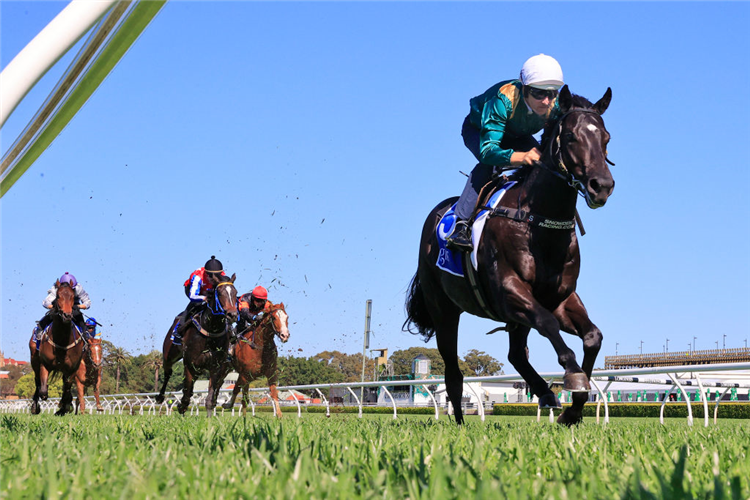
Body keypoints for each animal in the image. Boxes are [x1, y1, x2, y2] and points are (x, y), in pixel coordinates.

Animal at [28, 282, 85, 414]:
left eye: (72, 296)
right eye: (58, 296)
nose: (67, 315)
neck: (62, 341)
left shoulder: (72, 368)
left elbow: (67, 388)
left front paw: (64, 407)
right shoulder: (45, 364)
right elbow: (43, 390)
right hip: (34, 360)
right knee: (37, 381)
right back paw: (35, 406)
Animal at [157, 276, 239, 416]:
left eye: (235, 292)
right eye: (220, 293)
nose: (232, 315)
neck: (211, 331)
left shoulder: (216, 367)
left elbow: (210, 398)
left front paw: (210, 418)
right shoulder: (190, 364)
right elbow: (186, 395)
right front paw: (181, 407)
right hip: (169, 355)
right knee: (168, 373)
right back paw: (160, 397)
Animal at [406, 86, 616, 426]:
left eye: (606, 137)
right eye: (571, 136)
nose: (602, 186)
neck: (539, 223)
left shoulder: (560, 297)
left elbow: (592, 336)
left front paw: (572, 410)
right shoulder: (509, 292)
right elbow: (548, 324)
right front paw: (572, 377)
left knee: (515, 353)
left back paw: (543, 392)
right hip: (444, 310)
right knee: (453, 372)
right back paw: (460, 424)